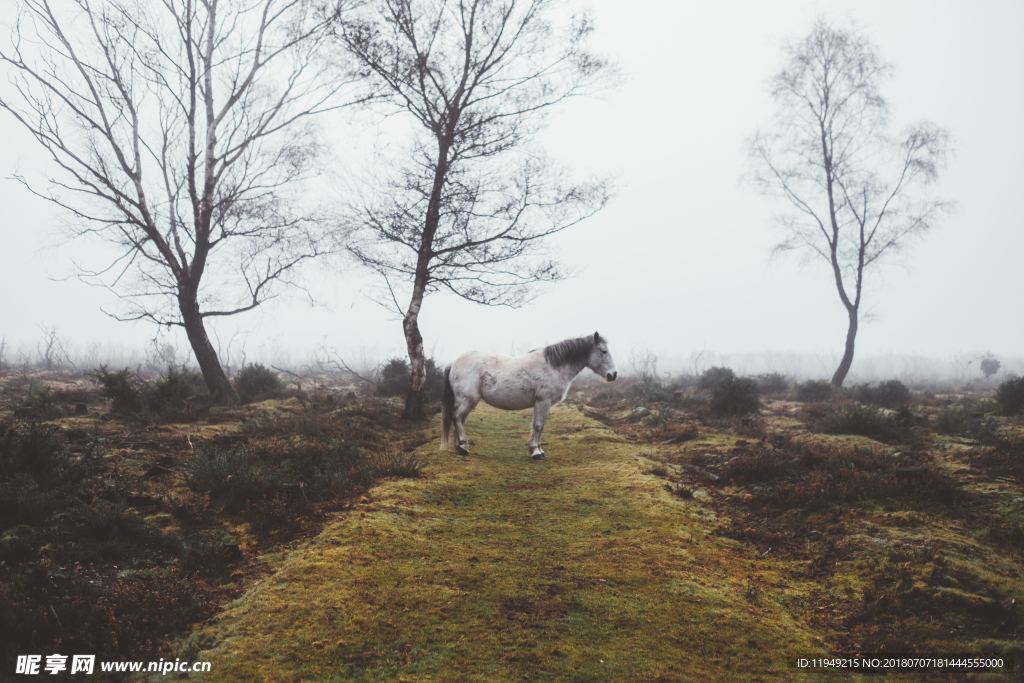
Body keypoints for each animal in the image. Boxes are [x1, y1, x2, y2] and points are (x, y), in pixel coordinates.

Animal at [440, 331, 614, 458]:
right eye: (603, 351)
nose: (613, 374)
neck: (553, 366)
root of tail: (454, 362)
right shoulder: (543, 401)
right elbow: (538, 425)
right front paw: (536, 452)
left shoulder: (540, 403)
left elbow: (537, 425)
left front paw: (537, 449)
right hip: (468, 400)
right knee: (457, 417)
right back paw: (463, 446)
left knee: (458, 419)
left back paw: (460, 447)